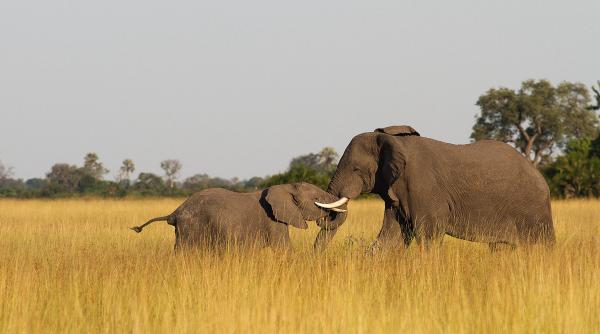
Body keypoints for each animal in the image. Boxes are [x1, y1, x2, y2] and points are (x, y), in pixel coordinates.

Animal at [131, 183, 346, 250]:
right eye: (316, 199)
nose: (323, 220)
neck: (286, 186)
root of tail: (175, 212)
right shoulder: (274, 221)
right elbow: (284, 250)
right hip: (190, 227)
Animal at [312, 126, 556, 252]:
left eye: (355, 169)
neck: (393, 140)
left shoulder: (423, 187)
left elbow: (428, 235)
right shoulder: (397, 193)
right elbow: (390, 237)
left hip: (533, 209)